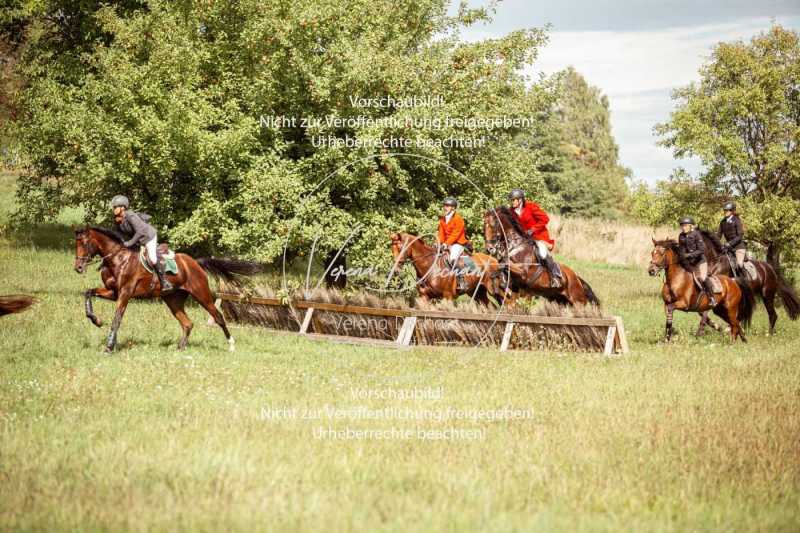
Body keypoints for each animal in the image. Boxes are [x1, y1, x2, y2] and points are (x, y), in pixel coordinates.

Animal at [75, 227, 262, 352]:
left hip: (201, 294)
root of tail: (195, 263)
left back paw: (231, 345)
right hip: (173, 300)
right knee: (187, 323)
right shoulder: (113, 293)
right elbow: (88, 292)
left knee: (218, 317)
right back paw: (180, 348)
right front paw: (96, 320)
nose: (78, 267)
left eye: (84, 243)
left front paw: (109, 347)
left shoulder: (125, 294)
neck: (118, 259)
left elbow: (117, 319)